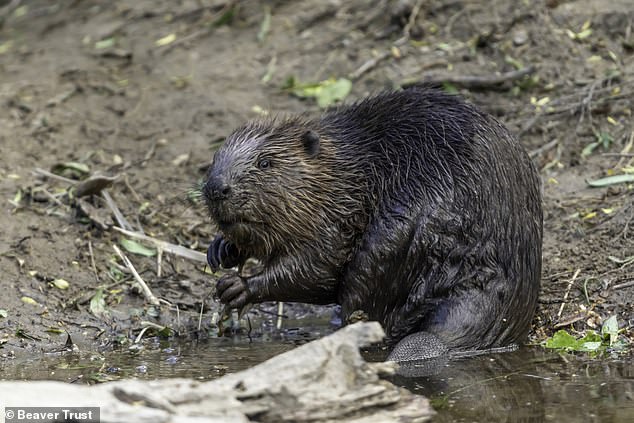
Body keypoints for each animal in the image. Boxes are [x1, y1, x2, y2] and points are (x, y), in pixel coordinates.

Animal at [205, 87, 540, 364]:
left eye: (265, 163)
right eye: (215, 158)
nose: (216, 188)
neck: (347, 168)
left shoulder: (339, 215)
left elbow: (319, 268)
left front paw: (237, 286)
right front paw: (221, 250)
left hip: (399, 236)